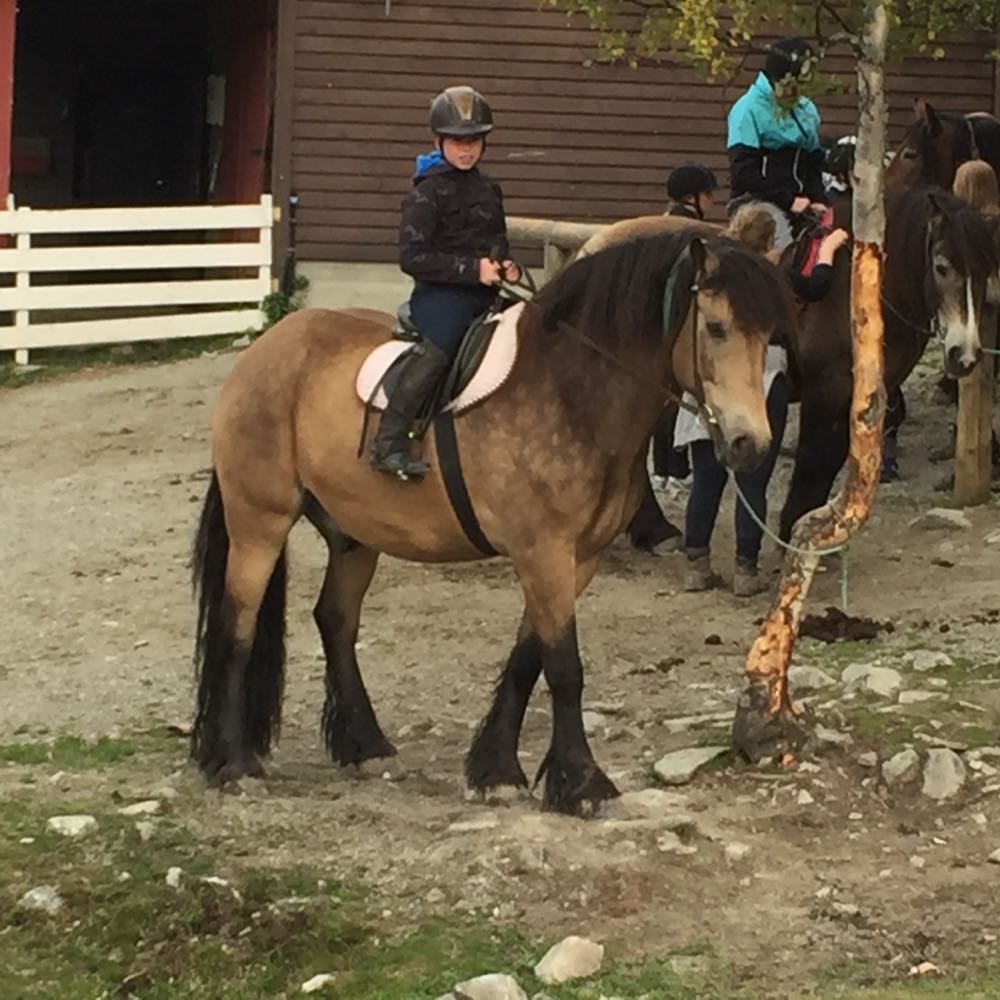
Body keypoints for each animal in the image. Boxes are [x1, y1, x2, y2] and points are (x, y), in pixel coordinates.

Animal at [190, 228, 793, 817]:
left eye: (769, 333)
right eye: (715, 327)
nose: (751, 444)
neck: (570, 392)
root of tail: (266, 348)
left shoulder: (574, 560)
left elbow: (529, 658)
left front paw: (496, 770)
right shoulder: (544, 553)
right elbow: (564, 667)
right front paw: (582, 783)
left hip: (353, 534)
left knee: (335, 620)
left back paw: (366, 747)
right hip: (259, 523)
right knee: (238, 626)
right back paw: (233, 763)